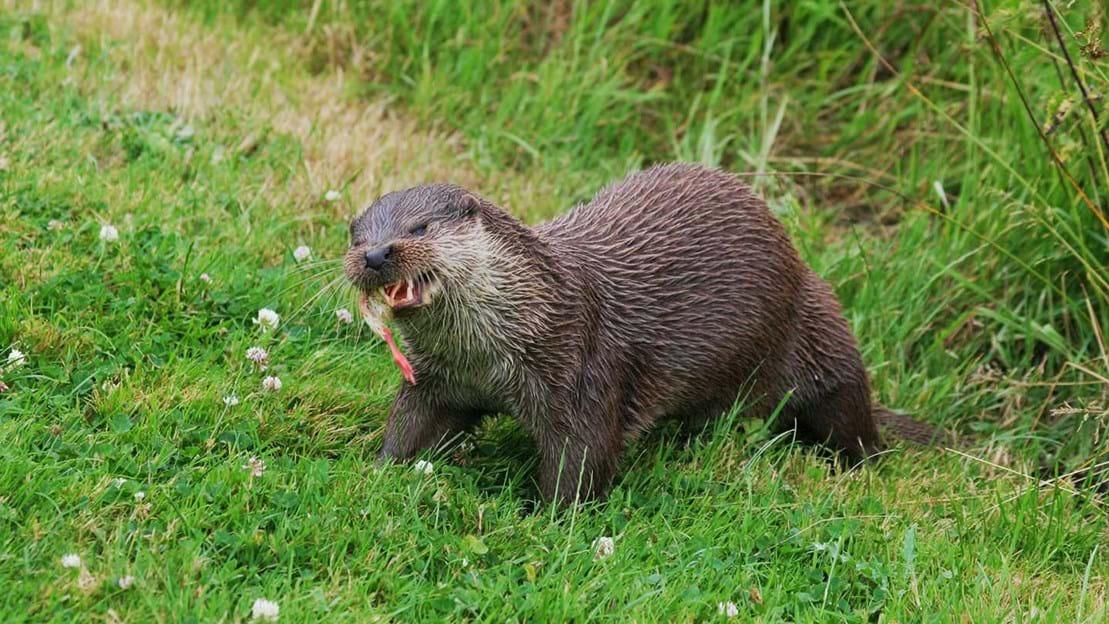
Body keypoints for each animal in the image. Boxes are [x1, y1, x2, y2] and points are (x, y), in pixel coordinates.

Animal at [345, 163, 934, 504]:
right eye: (357, 235)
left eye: (419, 228)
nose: (376, 255)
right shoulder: (439, 380)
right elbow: (411, 427)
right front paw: (378, 472)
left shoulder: (585, 370)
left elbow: (581, 462)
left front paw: (543, 521)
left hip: (821, 335)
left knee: (851, 420)